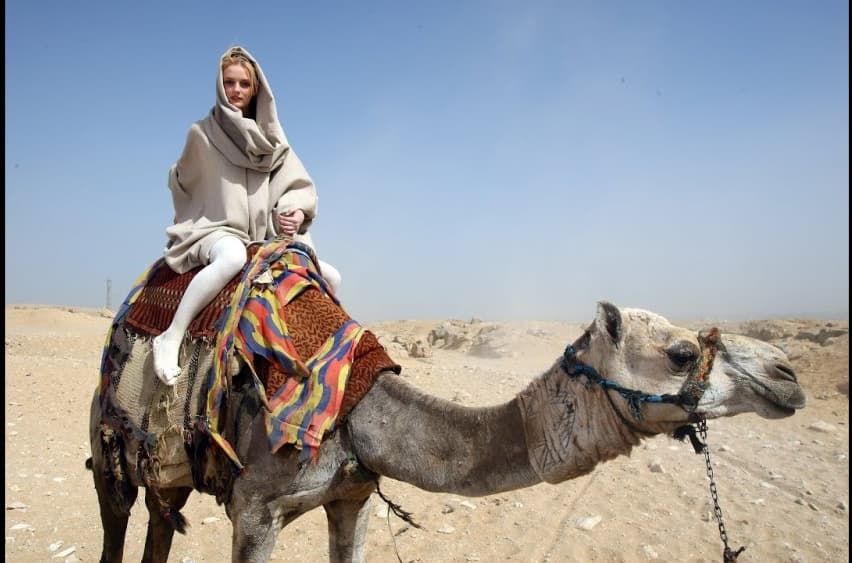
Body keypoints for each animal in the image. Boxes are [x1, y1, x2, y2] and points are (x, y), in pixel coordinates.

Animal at [88, 300, 806, 562]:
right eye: (682, 353)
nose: (788, 373)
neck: (358, 414)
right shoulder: (256, 508)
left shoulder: (352, 496)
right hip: (109, 452)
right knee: (117, 523)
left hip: (170, 472)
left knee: (159, 524)